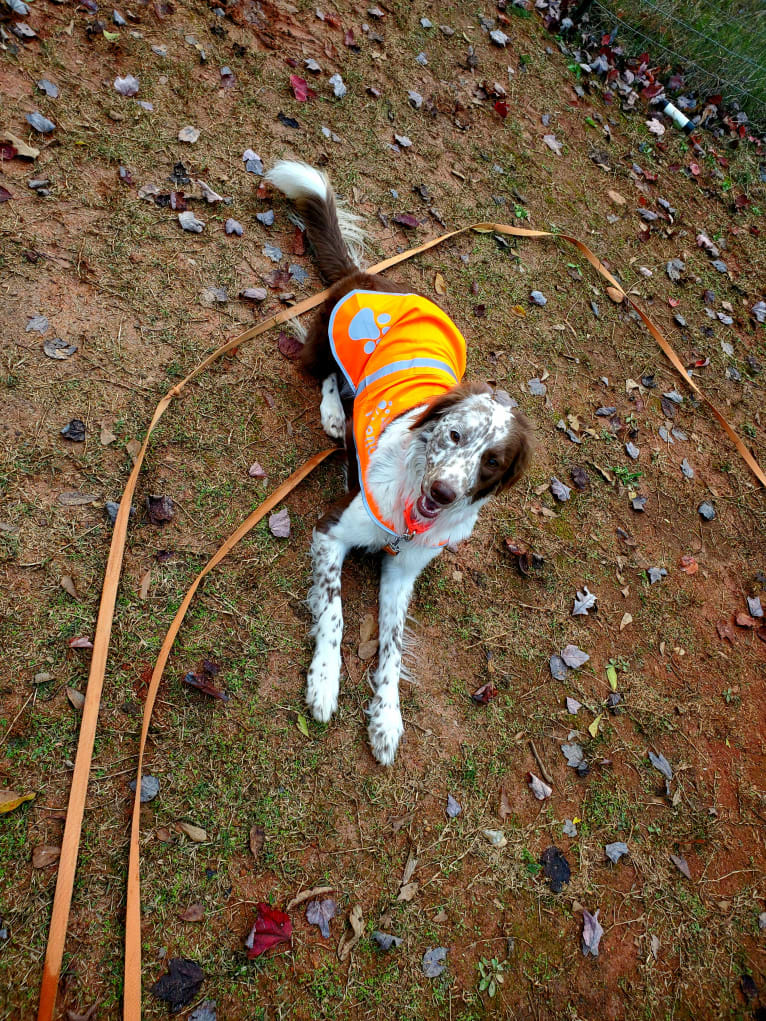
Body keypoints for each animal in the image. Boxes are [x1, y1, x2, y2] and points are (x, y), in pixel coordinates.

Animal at [265, 159, 535, 767]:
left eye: (490, 463)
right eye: (454, 434)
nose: (444, 494)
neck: (410, 512)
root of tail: (368, 276)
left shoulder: (403, 571)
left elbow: (389, 647)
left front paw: (386, 718)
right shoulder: (331, 530)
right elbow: (336, 615)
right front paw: (324, 683)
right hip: (325, 343)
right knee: (324, 373)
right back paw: (335, 416)